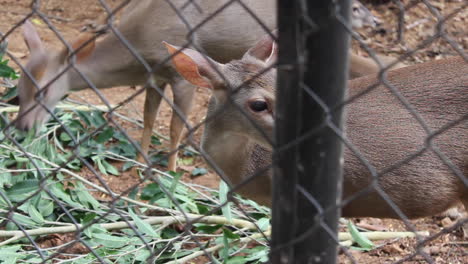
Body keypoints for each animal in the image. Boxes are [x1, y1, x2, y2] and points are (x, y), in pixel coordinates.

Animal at [14, 0, 394, 172]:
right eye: (19, 90)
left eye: (43, 90)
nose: (21, 126)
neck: (137, 48)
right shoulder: (156, 76)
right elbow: (149, 118)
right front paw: (139, 163)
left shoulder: (181, 75)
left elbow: (174, 126)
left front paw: (171, 172)